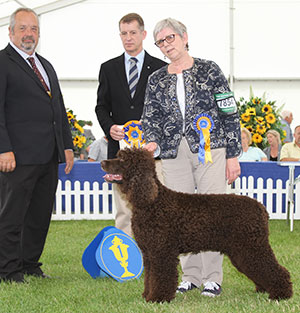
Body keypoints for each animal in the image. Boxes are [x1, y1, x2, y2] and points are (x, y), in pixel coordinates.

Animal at [101, 147, 292, 302]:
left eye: (123, 160)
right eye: (118, 155)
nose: (103, 162)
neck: (152, 202)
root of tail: (261, 207)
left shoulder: (162, 252)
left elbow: (161, 277)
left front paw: (158, 298)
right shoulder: (149, 253)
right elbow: (150, 277)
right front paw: (147, 295)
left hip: (251, 246)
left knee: (275, 269)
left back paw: (281, 294)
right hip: (243, 250)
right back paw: (264, 289)